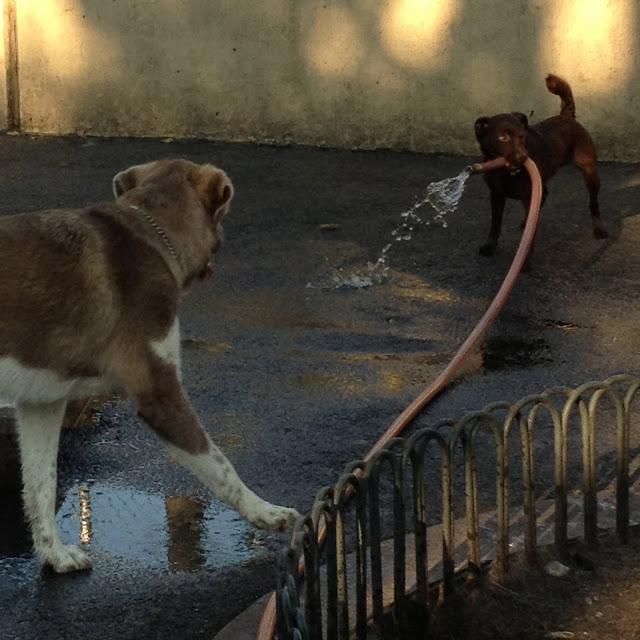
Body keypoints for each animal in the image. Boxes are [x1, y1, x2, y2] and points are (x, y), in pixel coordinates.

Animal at [0, 158, 300, 572]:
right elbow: (222, 467)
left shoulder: (42, 403)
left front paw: (54, 554)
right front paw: (266, 513)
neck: (149, 233)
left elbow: (40, 485)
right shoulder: (160, 391)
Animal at [476, 72, 604, 258]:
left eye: (522, 137)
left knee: (593, 203)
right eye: (502, 138)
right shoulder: (496, 195)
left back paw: (599, 229)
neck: (506, 172)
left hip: (589, 172)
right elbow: (495, 224)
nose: (523, 157)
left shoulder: (529, 194)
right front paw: (490, 246)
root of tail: (566, 116)